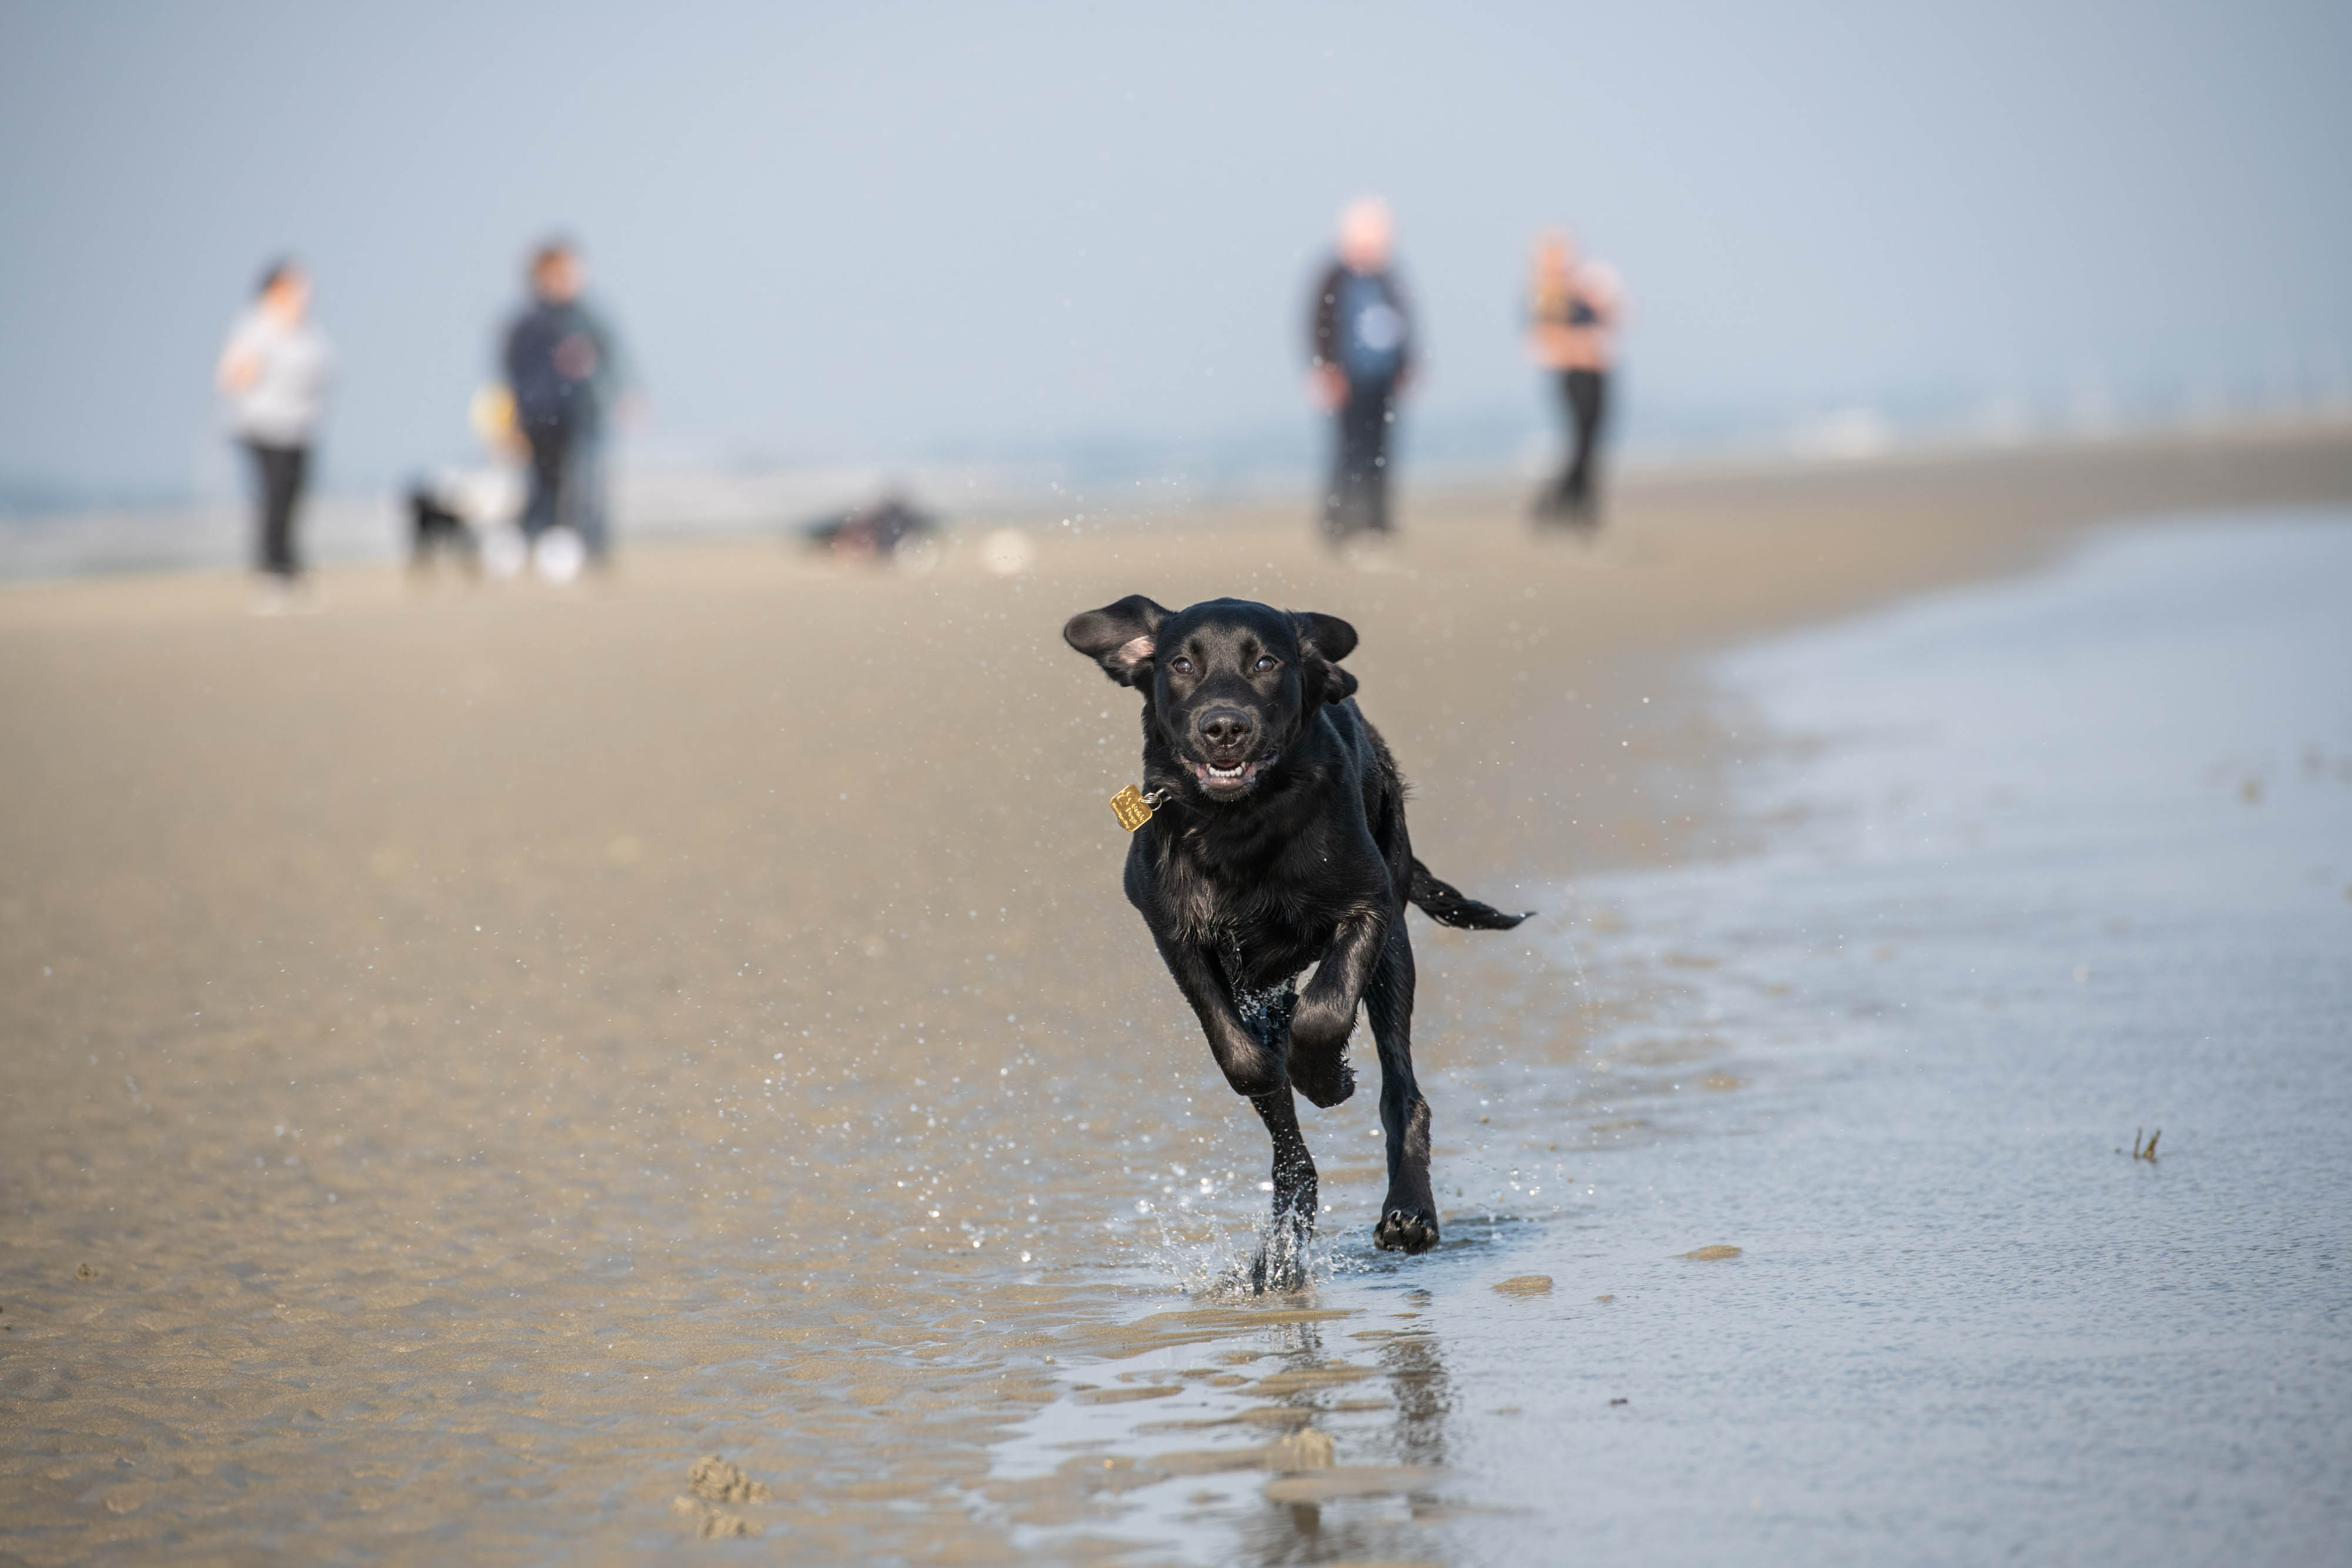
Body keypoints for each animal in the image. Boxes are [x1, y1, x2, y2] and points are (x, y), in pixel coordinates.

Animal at [1063, 594, 1524, 1279]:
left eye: (1265, 662)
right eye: (1180, 664)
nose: (1224, 727)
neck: (1240, 826)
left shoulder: (1368, 906)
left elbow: (1326, 1011)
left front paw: (1329, 1079)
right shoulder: (1177, 936)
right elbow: (1244, 1058)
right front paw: (1288, 1069)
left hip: (1394, 942)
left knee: (1402, 1090)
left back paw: (1408, 1212)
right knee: (1291, 1149)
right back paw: (1280, 1251)